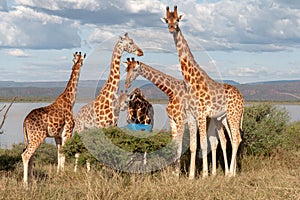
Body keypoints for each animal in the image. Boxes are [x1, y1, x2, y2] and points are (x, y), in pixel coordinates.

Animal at [21, 52, 85, 184]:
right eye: (81, 60)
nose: (81, 63)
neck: (70, 101)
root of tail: (25, 121)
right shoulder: (68, 131)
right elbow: (64, 153)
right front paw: (63, 174)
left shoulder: (57, 135)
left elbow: (59, 153)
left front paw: (58, 173)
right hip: (38, 136)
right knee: (25, 155)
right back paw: (25, 183)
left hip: (31, 137)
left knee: (30, 156)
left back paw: (32, 179)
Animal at [162, 5, 244, 177]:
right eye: (167, 20)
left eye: (177, 19)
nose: (172, 28)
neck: (191, 80)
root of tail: (242, 98)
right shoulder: (192, 115)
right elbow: (194, 145)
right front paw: (191, 176)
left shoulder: (201, 114)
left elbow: (204, 144)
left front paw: (205, 174)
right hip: (223, 118)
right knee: (233, 139)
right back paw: (230, 173)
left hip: (233, 115)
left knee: (236, 139)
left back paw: (230, 174)